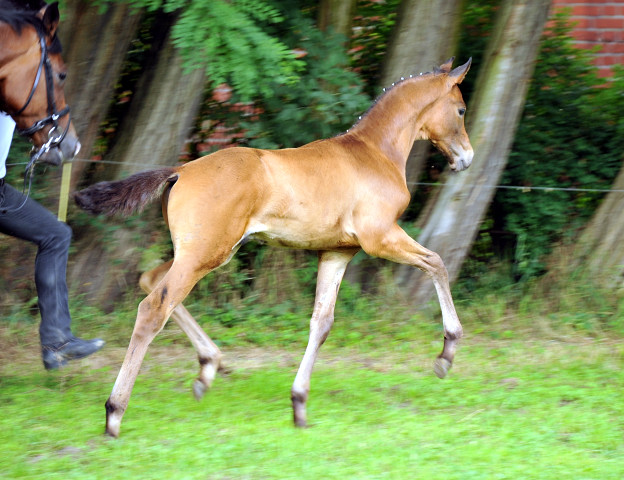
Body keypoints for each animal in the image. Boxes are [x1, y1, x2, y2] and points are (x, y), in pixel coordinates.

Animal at [75, 57, 472, 438]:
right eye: (461, 109)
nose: (466, 158)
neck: (375, 153)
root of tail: (180, 170)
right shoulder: (381, 238)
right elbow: (436, 263)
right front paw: (446, 354)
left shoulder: (338, 252)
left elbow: (322, 322)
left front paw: (299, 404)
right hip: (206, 254)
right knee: (153, 308)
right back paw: (115, 413)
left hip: (201, 252)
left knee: (151, 280)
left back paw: (208, 368)